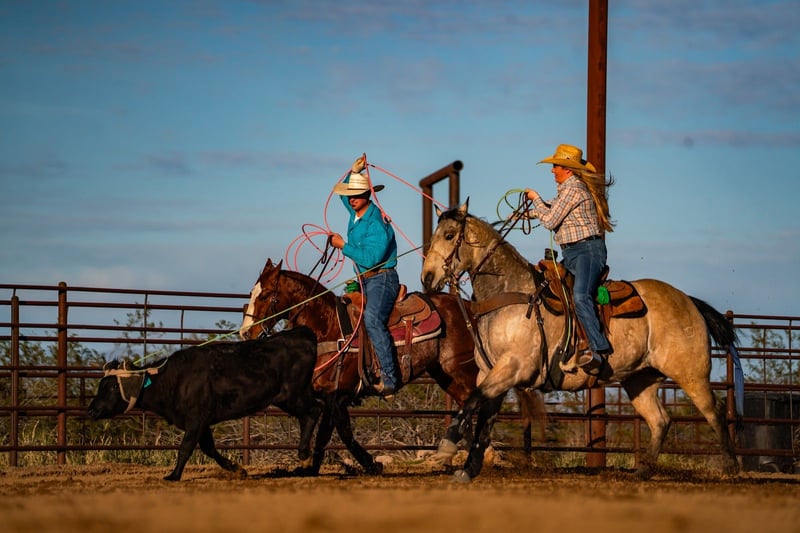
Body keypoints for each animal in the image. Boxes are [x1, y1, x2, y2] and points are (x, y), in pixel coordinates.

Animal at [88, 326, 322, 481]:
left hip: (292, 395)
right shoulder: (202, 422)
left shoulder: (196, 420)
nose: (91, 410)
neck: (174, 380)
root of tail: (302, 333)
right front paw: (236, 469)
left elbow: (185, 447)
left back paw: (304, 456)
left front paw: (173, 475)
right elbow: (209, 448)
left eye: (112, 387)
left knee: (314, 411)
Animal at [239, 257, 546, 475]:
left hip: (461, 368)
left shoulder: (338, 395)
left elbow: (340, 432)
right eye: (251, 293)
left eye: (265, 295)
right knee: (468, 402)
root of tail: (470, 309)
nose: (245, 332)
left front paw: (370, 464)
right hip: (445, 374)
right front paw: (313, 468)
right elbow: (330, 433)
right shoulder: (330, 396)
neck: (329, 325)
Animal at [420, 200, 742, 483]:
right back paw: (644, 470)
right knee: (660, 421)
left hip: (691, 373)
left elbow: (472, 402)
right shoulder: (492, 372)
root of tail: (688, 300)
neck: (510, 294)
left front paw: (446, 448)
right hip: (640, 380)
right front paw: (468, 468)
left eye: (449, 235)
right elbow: (483, 418)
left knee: (714, 412)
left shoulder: (512, 368)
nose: (427, 277)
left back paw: (730, 468)